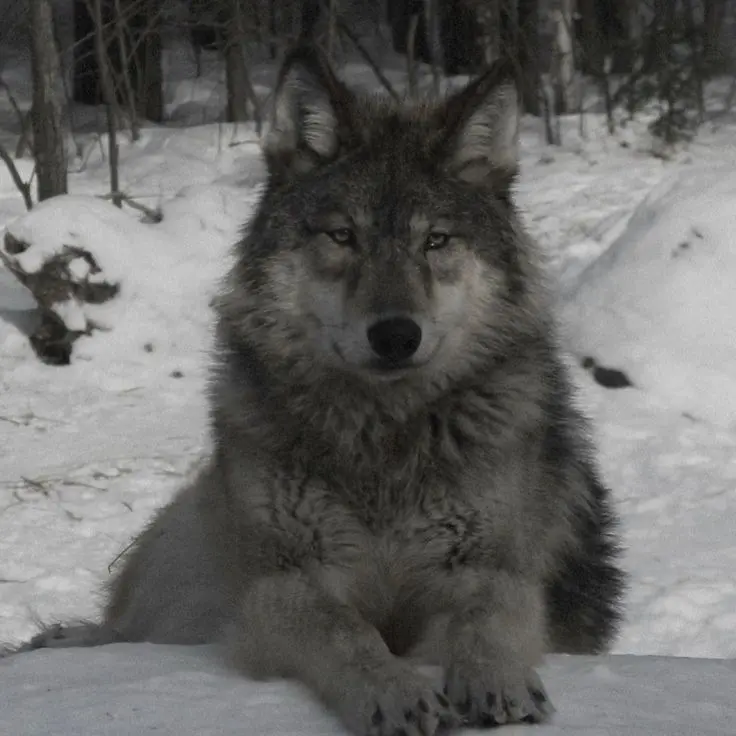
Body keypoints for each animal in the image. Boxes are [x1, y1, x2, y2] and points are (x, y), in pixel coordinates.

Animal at [11, 46, 626, 735]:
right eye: (343, 236)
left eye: (435, 240)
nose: (396, 334)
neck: (384, 441)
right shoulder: (281, 586)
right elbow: (348, 632)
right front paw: (395, 690)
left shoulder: (492, 569)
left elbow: (486, 618)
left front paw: (496, 682)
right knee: (126, 630)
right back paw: (61, 641)